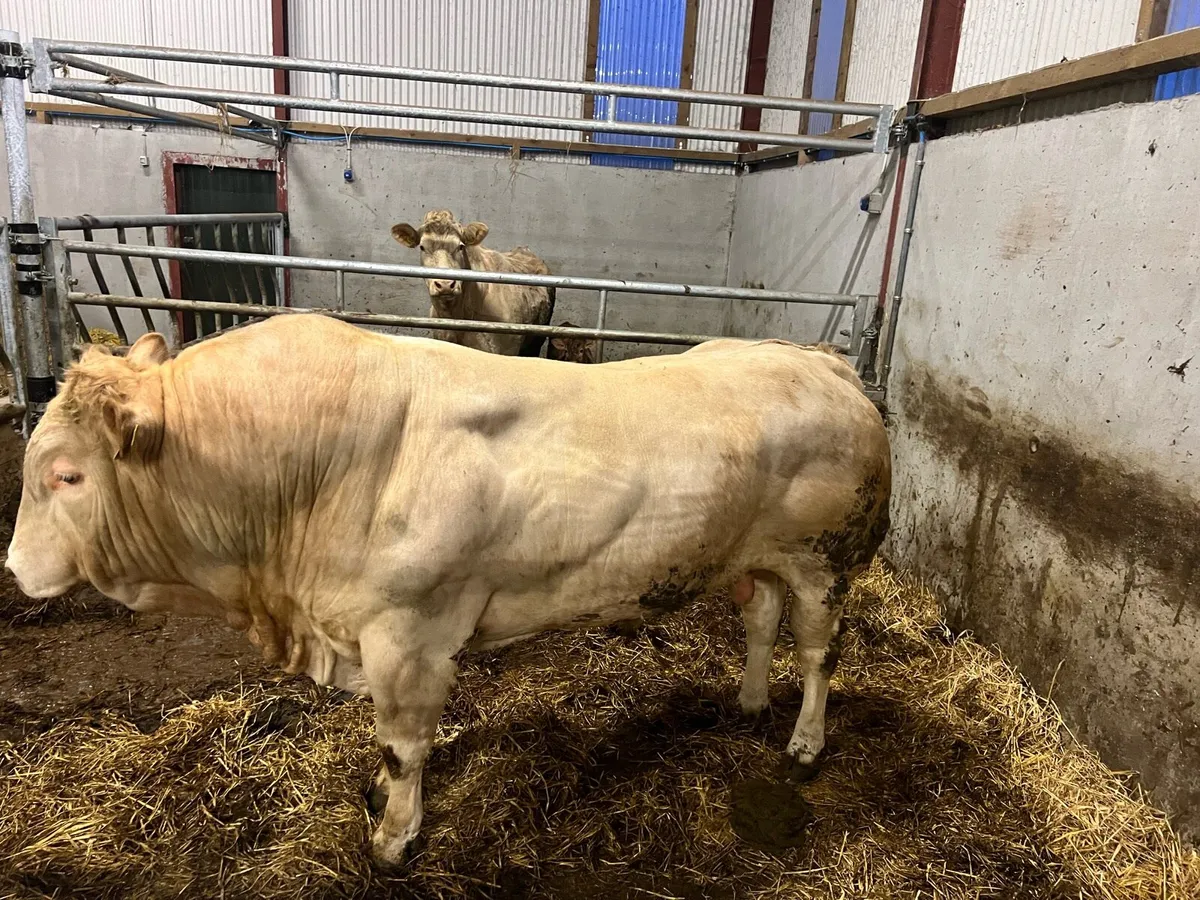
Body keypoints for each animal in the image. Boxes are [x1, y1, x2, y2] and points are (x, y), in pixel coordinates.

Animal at [6, 315, 891, 866]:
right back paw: (748, 701)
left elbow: (403, 746)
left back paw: (804, 743)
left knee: (818, 654)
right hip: (760, 554)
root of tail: (818, 360)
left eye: (67, 475)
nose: (12, 567)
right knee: (763, 619)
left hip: (828, 561)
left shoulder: (408, 633)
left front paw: (395, 839)